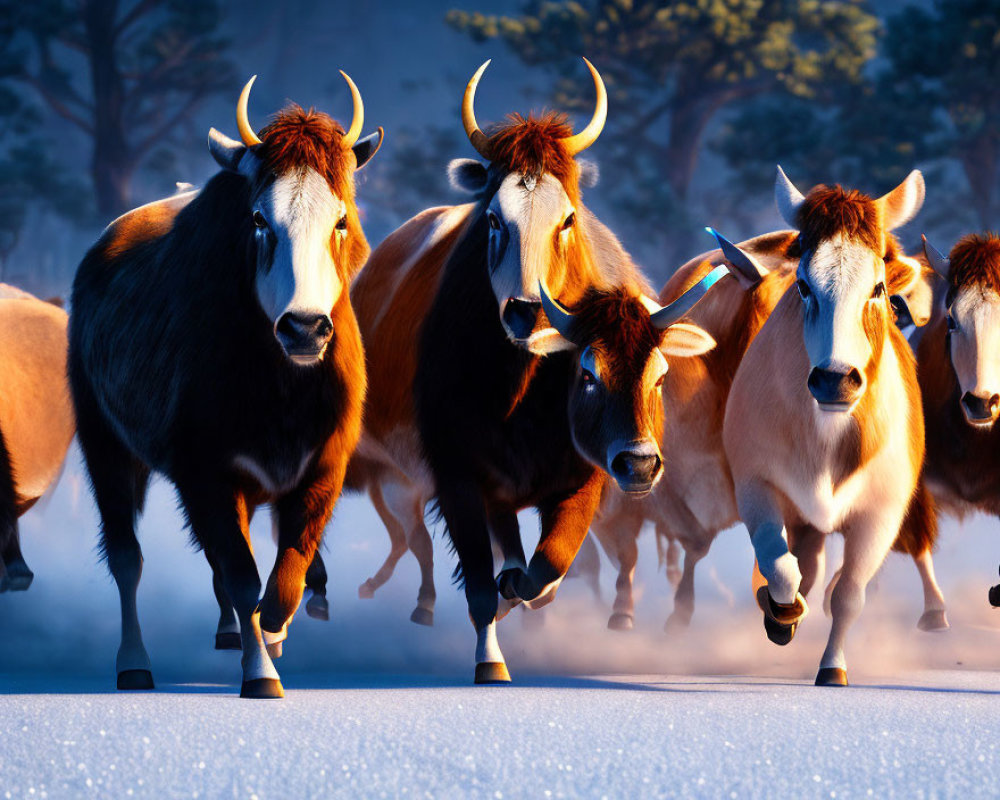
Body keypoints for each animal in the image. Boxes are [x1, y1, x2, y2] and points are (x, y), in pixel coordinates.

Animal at [67, 75, 382, 700]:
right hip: (103, 443)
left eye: (340, 219)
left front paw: (274, 631)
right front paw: (261, 674)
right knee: (127, 557)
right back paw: (134, 665)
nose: (304, 327)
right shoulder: (205, 471)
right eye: (259, 219)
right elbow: (241, 574)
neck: (283, 389)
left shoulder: (323, 467)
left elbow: (287, 569)